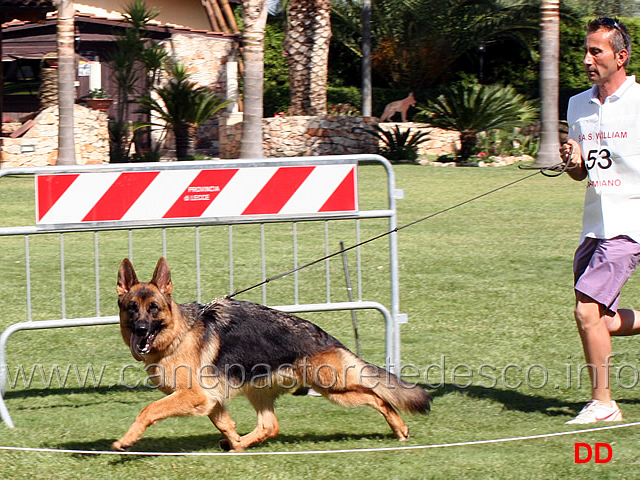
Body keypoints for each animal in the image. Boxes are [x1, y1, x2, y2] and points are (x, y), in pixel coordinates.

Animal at [112, 258, 432, 450]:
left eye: (154, 308)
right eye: (132, 308)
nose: (141, 330)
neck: (179, 333)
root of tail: (324, 336)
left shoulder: (195, 396)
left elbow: (148, 410)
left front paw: (126, 441)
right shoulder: (211, 400)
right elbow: (224, 423)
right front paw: (234, 441)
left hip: (333, 387)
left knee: (378, 397)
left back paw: (400, 427)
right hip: (261, 391)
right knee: (270, 426)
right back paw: (239, 445)